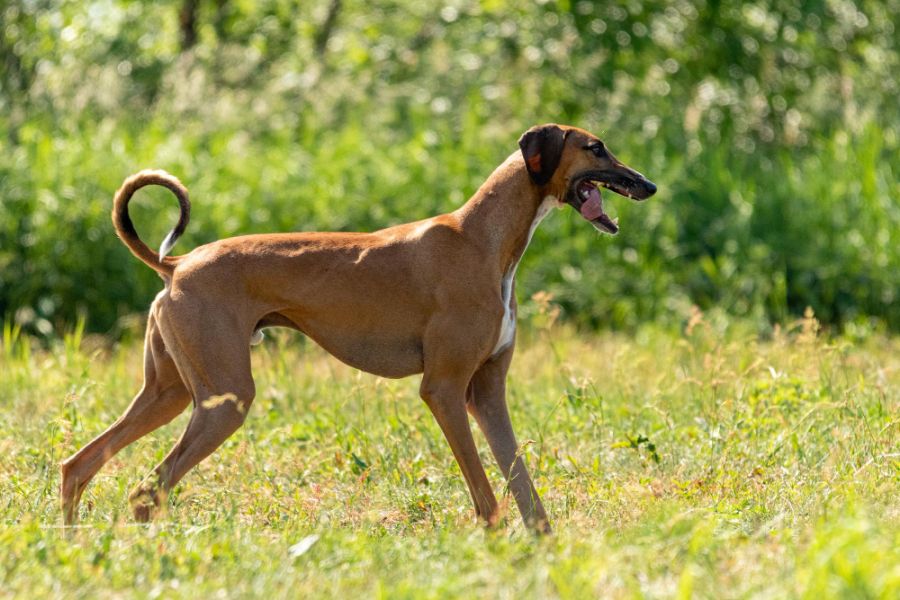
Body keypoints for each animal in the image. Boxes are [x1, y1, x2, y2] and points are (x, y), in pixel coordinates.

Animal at [61, 124, 652, 532]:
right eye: (596, 148)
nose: (646, 184)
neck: (482, 238)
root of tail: (177, 264)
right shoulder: (444, 391)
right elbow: (486, 494)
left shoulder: (487, 393)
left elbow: (525, 488)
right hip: (224, 401)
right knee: (146, 490)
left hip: (171, 394)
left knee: (79, 464)